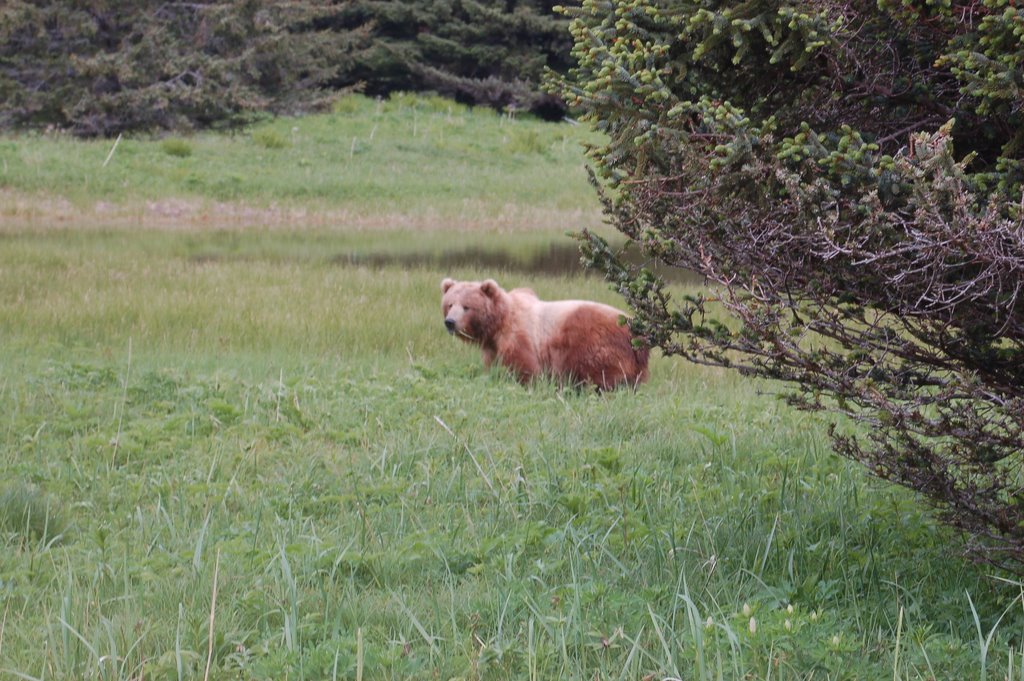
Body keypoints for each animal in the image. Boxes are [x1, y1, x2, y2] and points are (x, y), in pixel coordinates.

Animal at [440, 276, 647, 391]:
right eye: (449, 304)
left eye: (467, 307)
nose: (450, 322)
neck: (499, 323)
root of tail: (637, 337)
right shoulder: (493, 347)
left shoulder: (520, 338)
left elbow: (524, 368)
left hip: (595, 345)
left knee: (602, 376)